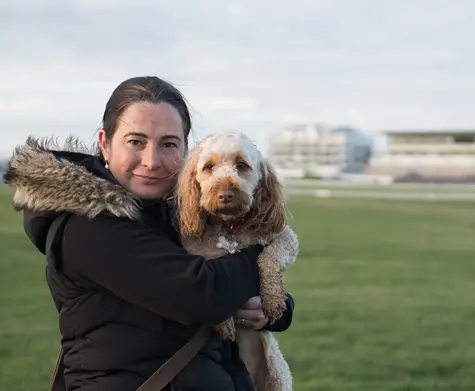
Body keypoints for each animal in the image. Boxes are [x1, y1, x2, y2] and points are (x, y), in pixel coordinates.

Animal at [177, 132, 300, 391]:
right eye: (208, 167)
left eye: (242, 165)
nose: (225, 194)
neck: (229, 228)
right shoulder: (195, 253)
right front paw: (223, 323)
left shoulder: (286, 238)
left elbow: (269, 258)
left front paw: (273, 299)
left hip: (278, 378)